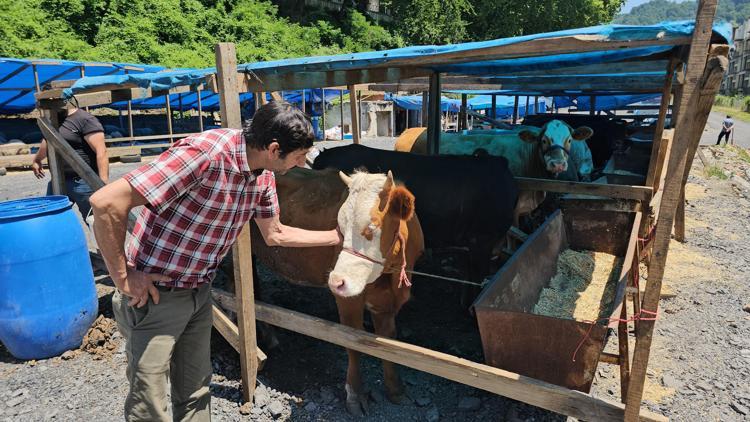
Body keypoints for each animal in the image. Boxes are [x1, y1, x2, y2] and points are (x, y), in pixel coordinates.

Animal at [253, 167, 426, 416]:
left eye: (371, 228)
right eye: (340, 229)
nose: (335, 281)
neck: (390, 277)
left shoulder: (386, 302)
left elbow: (388, 341)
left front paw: (396, 390)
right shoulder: (348, 300)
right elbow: (352, 342)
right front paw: (355, 396)